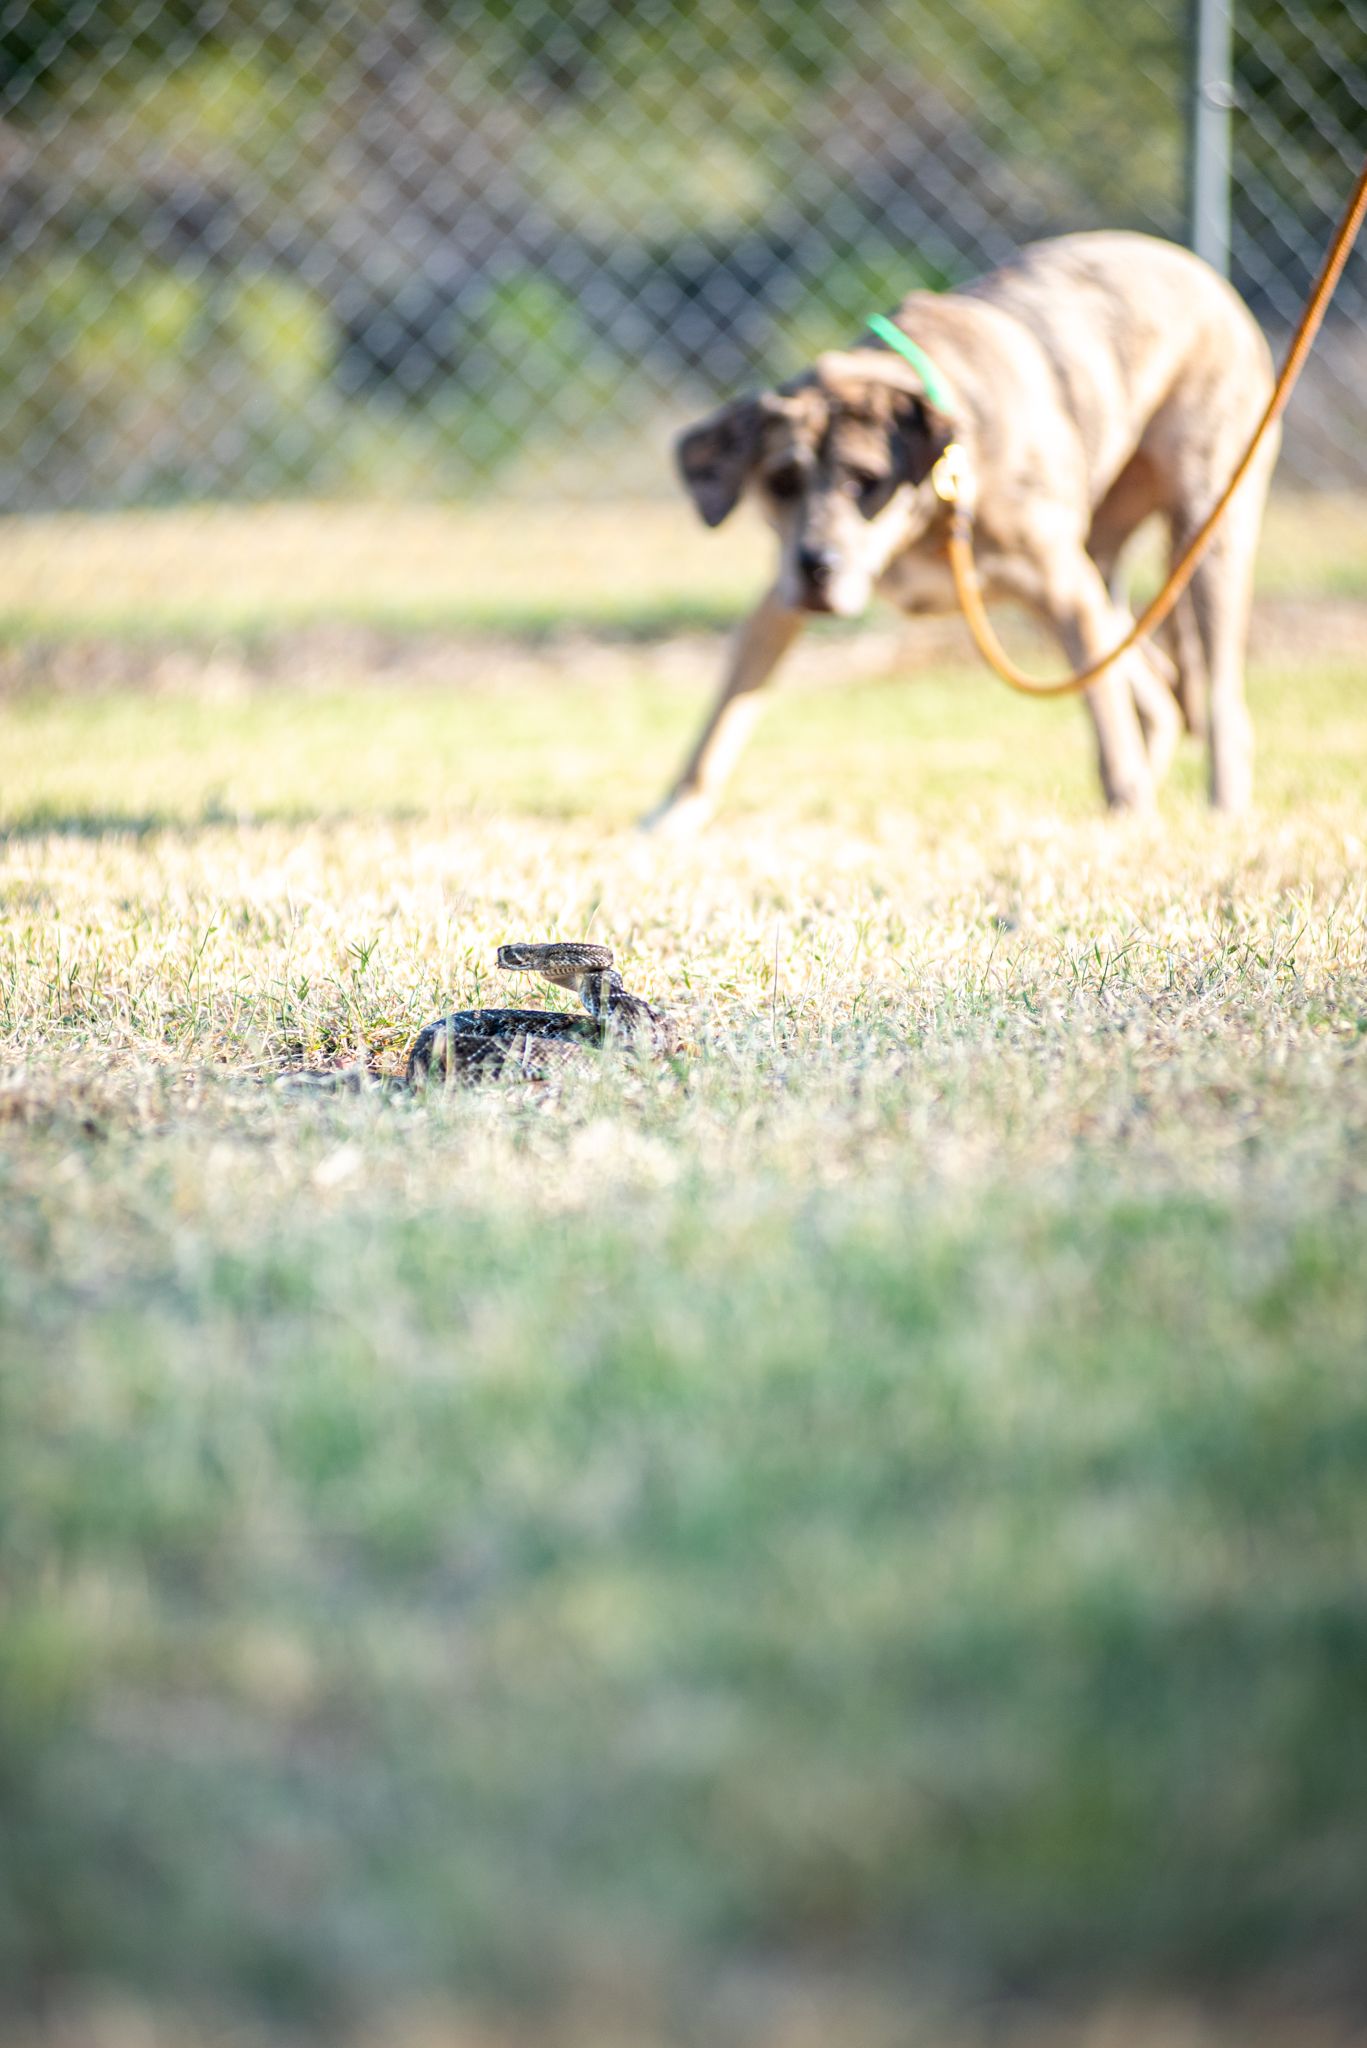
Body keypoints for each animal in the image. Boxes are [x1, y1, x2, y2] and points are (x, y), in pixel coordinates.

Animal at [647, 228, 1278, 827]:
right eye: (780, 482)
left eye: (863, 482)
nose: (816, 567)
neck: (929, 511)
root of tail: (1198, 271)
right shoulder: (776, 605)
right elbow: (724, 717)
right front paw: (673, 815)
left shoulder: (1066, 592)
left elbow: (1107, 721)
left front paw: (1132, 810)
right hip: (1099, 567)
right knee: (1157, 689)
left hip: (1206, 528)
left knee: (1218, 700)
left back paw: (1223, 805)